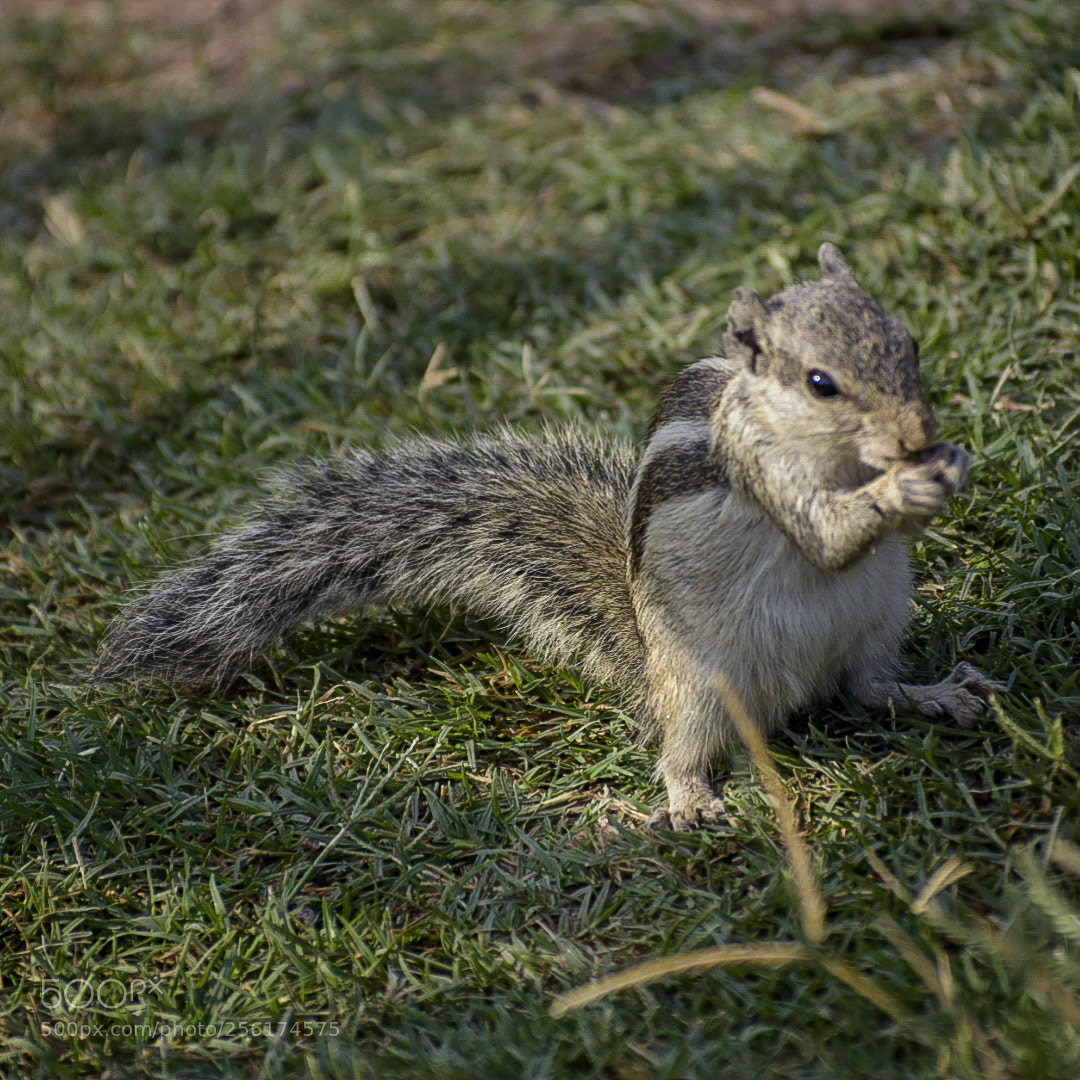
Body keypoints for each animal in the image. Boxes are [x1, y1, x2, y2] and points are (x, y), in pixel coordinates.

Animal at [94, 243, 998, 830]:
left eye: (909, 342)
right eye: (820, 382)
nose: (918, 432)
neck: (834, 454)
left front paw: (947, 462)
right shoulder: (758, 472)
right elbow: (825, 534)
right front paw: (907, 483)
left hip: (876, 622)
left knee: (868, 689)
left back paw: (940, 693)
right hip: (701, 683)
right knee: (683, 744)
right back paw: (690, 799)